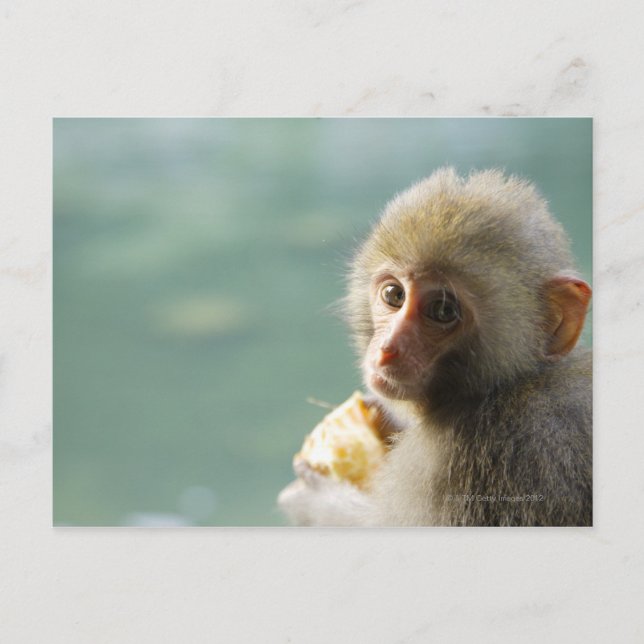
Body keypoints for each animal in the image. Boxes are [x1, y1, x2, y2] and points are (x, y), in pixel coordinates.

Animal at [278, 168, 592, 527]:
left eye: (443, 311)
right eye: (394, 295)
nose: (387, 347)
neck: (502, 389)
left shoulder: (447, 460)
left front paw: (311, 498)